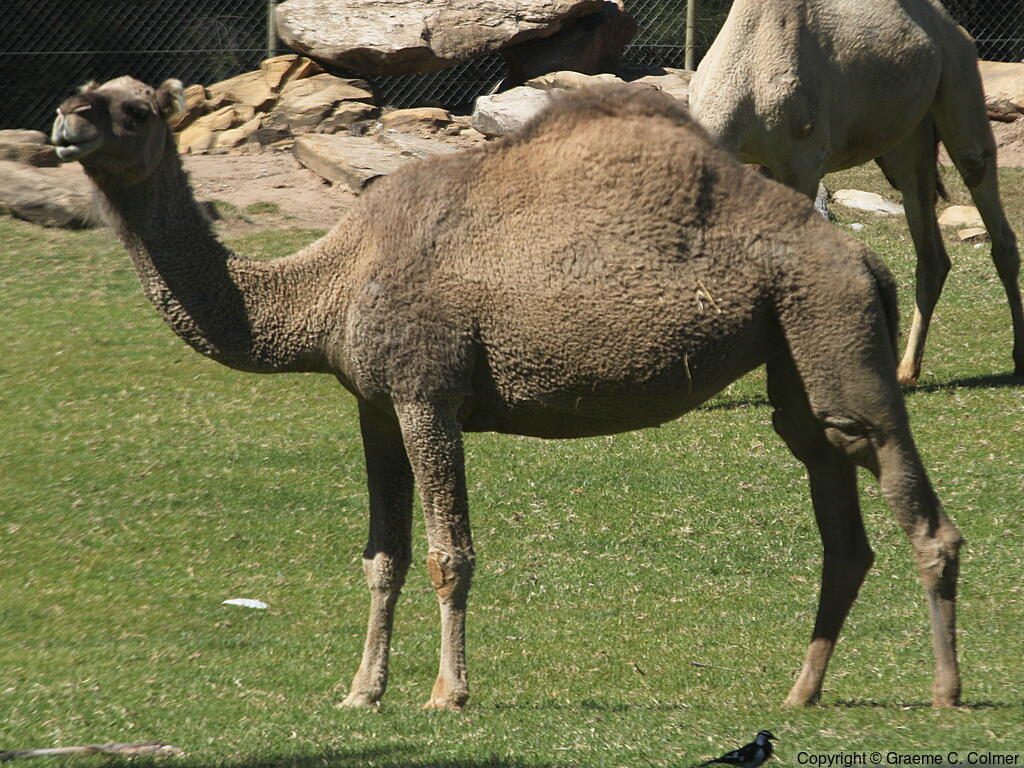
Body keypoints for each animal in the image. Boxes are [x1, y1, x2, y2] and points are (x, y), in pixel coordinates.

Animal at [52, 75, 963, 709]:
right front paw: (360, 692)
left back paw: (945, 692)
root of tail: (864, 258)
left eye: (137, 109)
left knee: (903, 487)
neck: (331, 284)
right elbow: (383, 556)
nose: (66, 121)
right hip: (797, 342)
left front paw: (446, 694)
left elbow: (449, 554)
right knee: (834, 492)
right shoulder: (374, 405)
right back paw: (800, 692)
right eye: (87, 96)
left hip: (831, 318)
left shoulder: (427, 391)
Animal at [688, 0, 1024, 386]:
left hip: (960, 75)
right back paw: (906, 370)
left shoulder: (802, 162)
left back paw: (1018, 357)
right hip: (906, 139)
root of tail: (950, 25)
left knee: (981, 180)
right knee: (930, 247)